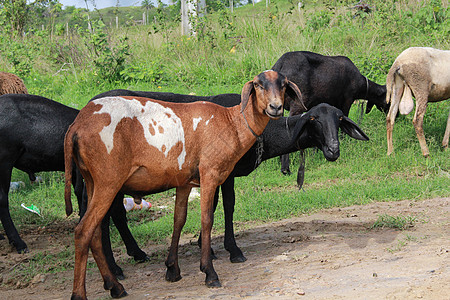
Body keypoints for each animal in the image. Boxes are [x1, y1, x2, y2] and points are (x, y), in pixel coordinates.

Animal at [64, 71, 302, 300]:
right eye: (259, 84)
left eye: (283, 85)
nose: (275, 107)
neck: (232, 122)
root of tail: (77, 125)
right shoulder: (210, 173)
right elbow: (207, 219)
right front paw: (209, 272)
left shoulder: (184, 181)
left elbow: (179, 220)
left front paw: (172, 269)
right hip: (108, 180)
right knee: (84, 231)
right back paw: (80, 293)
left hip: (92, 179)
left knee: (94, 233)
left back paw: (115, 287)